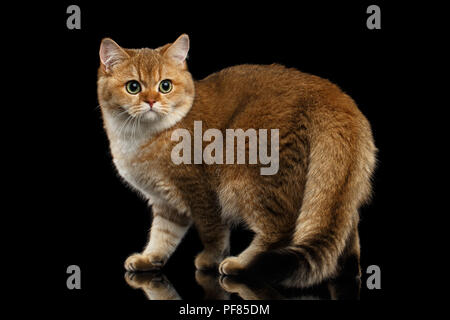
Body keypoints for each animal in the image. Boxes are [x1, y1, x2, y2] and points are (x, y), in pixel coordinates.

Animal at [97, 33, 376, 286]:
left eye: (165, 85)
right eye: (133, 87)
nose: (151, 101)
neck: (139, 138)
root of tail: (333, 97)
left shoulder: (201, 191)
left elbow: (212, 231)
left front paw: (211, 259)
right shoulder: (166, 203)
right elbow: (163, 235)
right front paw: (150, 258)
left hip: (246, 177)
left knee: (280, 230)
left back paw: (242, 264)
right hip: (334, 187)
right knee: (345, 227)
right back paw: (347, 269)